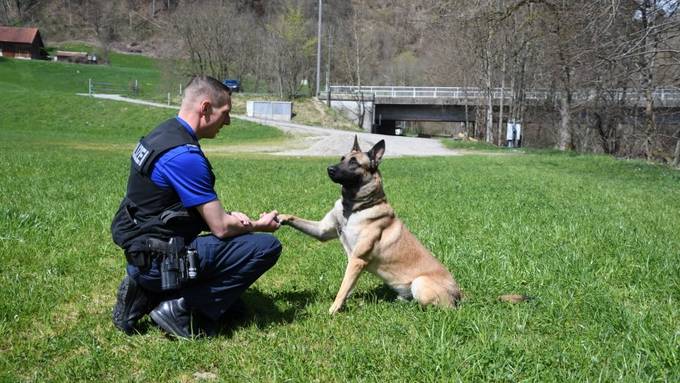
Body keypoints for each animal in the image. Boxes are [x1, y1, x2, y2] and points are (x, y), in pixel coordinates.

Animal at [276, 138, 462, 316]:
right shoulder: (323, 231)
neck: (353, 209)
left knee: (442, 309)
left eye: (354, 163)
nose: (329, 169)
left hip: (420, 283)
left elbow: (343, 289)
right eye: (342, 158)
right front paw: (280, 217)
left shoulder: (357, 260)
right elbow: (347, 286)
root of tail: (460, 294)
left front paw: (333, 310)